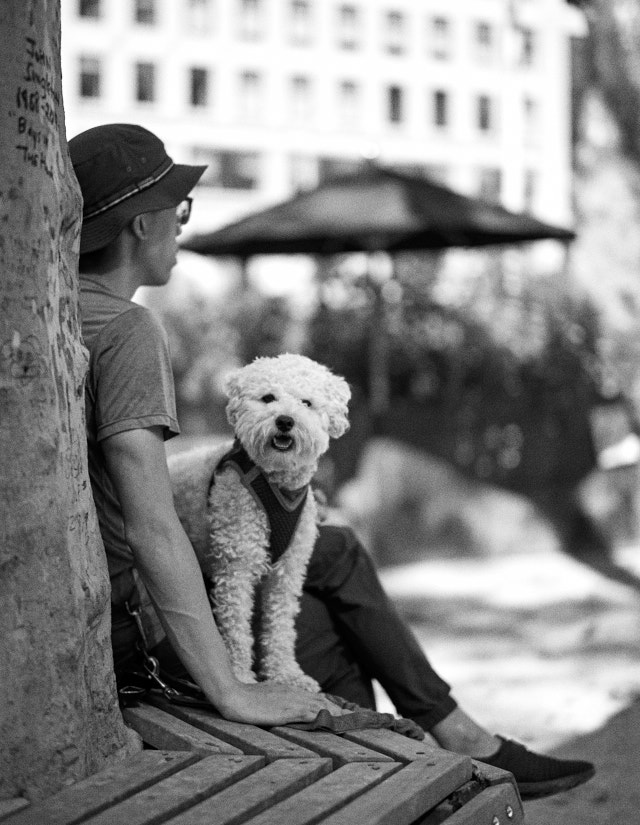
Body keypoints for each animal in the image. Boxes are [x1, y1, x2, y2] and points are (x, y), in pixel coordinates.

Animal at [168, 352, 350, 688]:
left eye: (306, 403)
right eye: (268, 398)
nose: (285, 421)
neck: (275, 483)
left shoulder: (287, 571)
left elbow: (280, 627)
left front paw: (285, 674)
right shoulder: (235, 564)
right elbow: (236, 625)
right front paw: (240, 676)